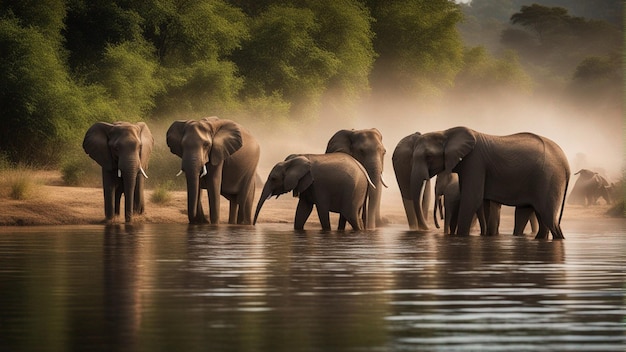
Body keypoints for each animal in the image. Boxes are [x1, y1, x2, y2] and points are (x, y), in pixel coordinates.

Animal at [392, 126, 568, 239]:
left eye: (428, 156)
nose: (429, 229)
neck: (446, 132)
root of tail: (567, 165)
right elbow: (483, 202)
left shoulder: (475, 162)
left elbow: (472, 199)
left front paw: (461, 237)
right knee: (537, 215)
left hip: (549, 178)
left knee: (548, 216)